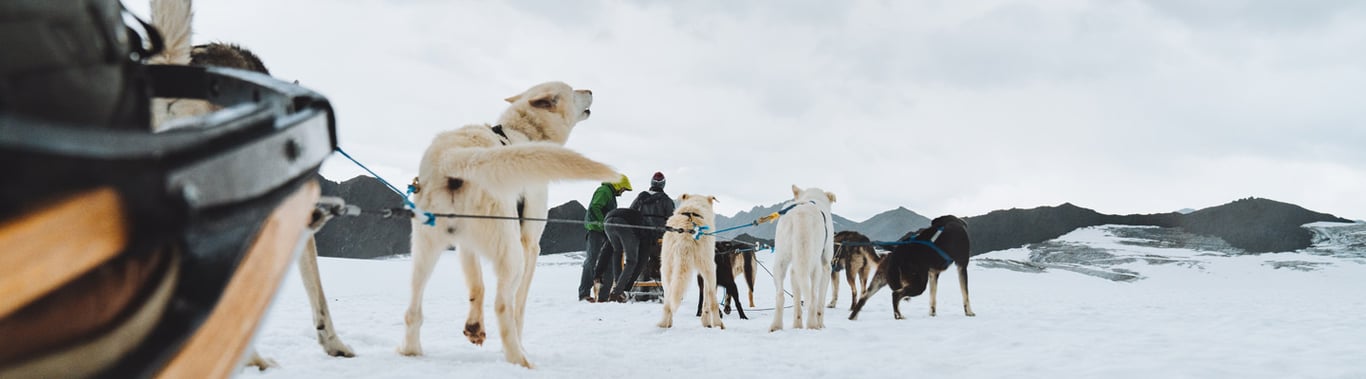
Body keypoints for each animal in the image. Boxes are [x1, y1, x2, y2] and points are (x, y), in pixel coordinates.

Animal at [398, 81, 617, 366]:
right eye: (572, 91)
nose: (590, 90)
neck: (524, 132)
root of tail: (454, 157)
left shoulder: (466, 246)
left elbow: (477, 286)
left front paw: (474, 327)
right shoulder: (531, 245)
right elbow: (519, 307)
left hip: (424, 252)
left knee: (413, 309)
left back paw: (411, 351)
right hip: (513, 255)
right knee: (502, 305)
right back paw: (520, 359)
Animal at [658, 192, 726, 328]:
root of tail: (685, 230)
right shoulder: (706, 269)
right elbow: (707, 298)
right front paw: (706, 321)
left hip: (666, 270)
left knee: (668, 300)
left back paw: (664, 323)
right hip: (710, 268)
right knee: (713, 300)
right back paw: (718, 324)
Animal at [770, 184, 830, 328]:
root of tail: (801, 213)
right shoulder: (827, 266)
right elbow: (821, 301)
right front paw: (821, 324)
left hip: (781, 260)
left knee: (780, 295)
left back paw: (777, 326)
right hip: (815, 264)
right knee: (813, 297)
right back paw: (813, 325)